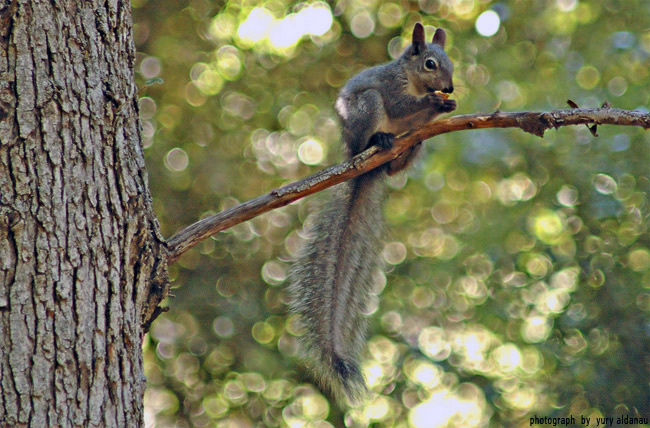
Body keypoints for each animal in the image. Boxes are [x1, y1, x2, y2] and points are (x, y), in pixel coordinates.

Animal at [288, 23, 456, 403]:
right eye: (430, 63)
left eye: (451, 63)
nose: (451, 87)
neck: (411, 78)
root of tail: (363, 164)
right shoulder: (391, 89)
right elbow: (400, 104)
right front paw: (433, 101)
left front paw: (447, 104)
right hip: (366, 108)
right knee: (374, 121)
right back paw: (378, 141)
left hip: (411, 144)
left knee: (405, 154)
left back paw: (400, 154)